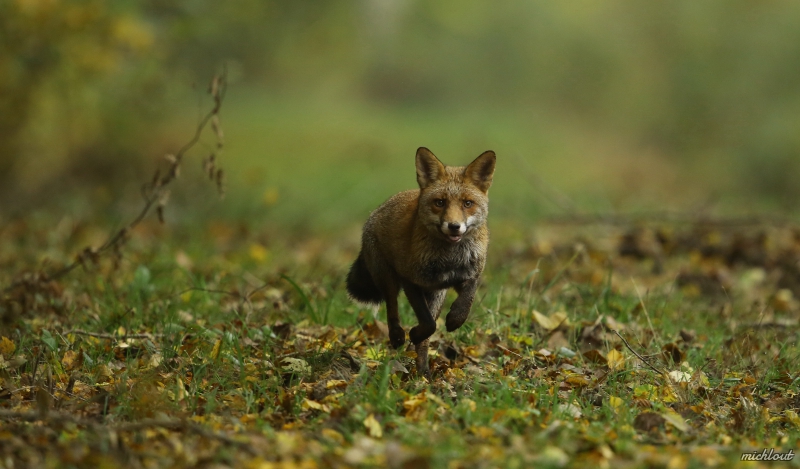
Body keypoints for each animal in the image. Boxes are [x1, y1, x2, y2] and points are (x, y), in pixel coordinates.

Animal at [346, 146, 496, 376]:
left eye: (467, 203)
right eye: (440, 202)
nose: (454, 226)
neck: (450, 258)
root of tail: (380, 208)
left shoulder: (469, 275)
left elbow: (466, 302)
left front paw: (454, 320)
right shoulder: (410, 280)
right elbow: (427, 324)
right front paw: (414, 334)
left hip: (437, 294)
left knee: (425, 339)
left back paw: (424, 371)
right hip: (387, 277)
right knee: (392, 306)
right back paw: (398, 336)